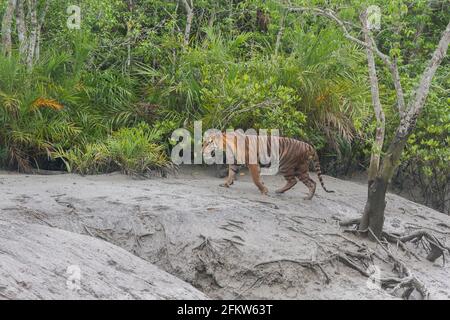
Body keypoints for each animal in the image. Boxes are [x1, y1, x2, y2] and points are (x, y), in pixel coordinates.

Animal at [204, 131, 334, 199]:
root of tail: (308, 145)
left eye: (209, 142)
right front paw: (226, 184)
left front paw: (264, 190)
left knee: (296, 181)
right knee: (310, 182)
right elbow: (231, 173)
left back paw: (303, 196)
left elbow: (255, 179)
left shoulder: (252, 164)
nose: (202, 149)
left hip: (287, 166)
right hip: (301, 168)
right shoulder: (235, 162)